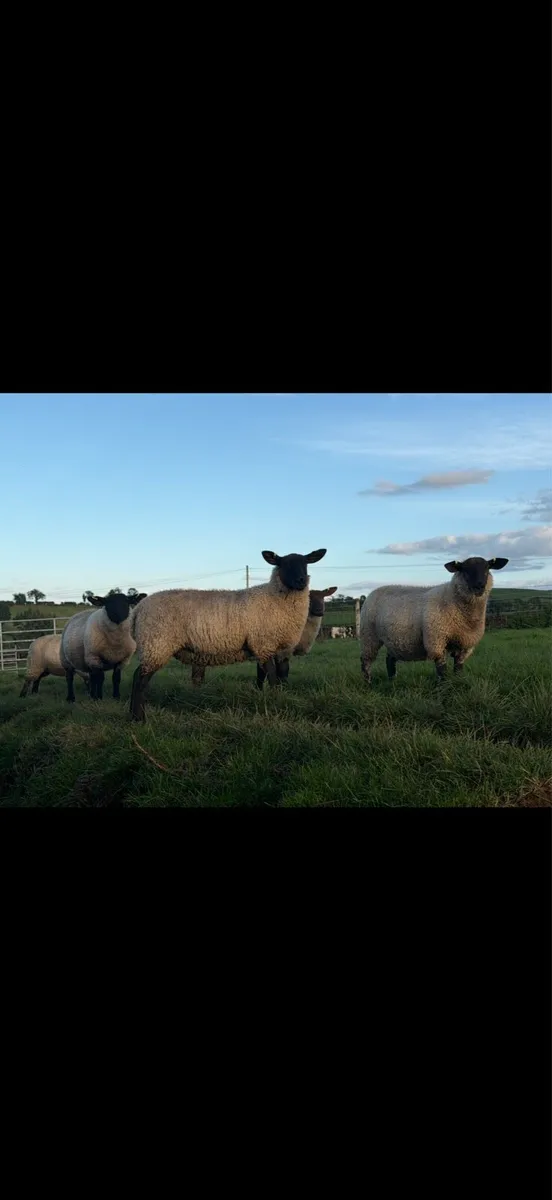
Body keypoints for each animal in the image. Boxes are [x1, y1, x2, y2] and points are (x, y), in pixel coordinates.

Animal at [129, 548, 327, 721]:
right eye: (283, 564)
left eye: (305, 563)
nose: (301, 580)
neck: (274, 598)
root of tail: (138, 609)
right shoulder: (263, 644)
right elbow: (271, 676)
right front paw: (274, 700)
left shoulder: (279, 648)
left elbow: (279, 675)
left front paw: (277, 696)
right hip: (156, 644)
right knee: (139, 679)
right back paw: (139, 718)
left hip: (153, 646)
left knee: (137, 677)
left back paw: (133, 715)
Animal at [359, 556, 509, 684]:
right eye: (464, 569)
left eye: (487, 568)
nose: (479, 586)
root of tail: (372, 593)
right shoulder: (437, 640)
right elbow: (442, 670)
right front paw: (444, 688)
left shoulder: (465, 644)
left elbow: (458, 668)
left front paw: (459, 682)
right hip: (369, 635)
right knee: (365, 660)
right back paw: (368, 683)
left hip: (393, 639)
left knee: (389, 660)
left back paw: (392, 681)